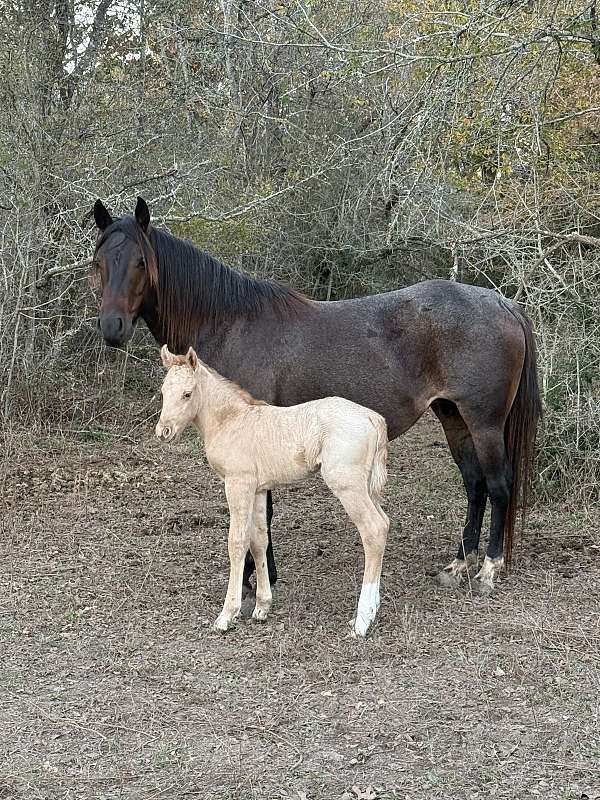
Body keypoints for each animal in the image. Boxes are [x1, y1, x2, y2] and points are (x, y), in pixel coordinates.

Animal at [92, 196, 541, 595]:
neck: (229, 324)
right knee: (474, 485)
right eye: (98, 262)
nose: (112, 327)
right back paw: (457, 565)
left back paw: (488, 570)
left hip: (484, 423)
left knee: (498, 485)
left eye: (140, 262)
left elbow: (260, 515)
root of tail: (501, 302)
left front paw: (257, 580)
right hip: (453, 417)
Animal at [156, 345, 389, 636]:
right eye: (163, 391)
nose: (163, 432)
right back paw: (370, 611)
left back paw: (361, 621)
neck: (231, 420)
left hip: (348, 485)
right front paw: (262, 607)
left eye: (187, 394)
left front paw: (227, 615)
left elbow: (237, 542)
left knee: (373, 529)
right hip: (367, 486)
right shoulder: (257, 489)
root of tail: (373, 418)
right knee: (384, 523)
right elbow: (258, 540)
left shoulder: (238, 484)